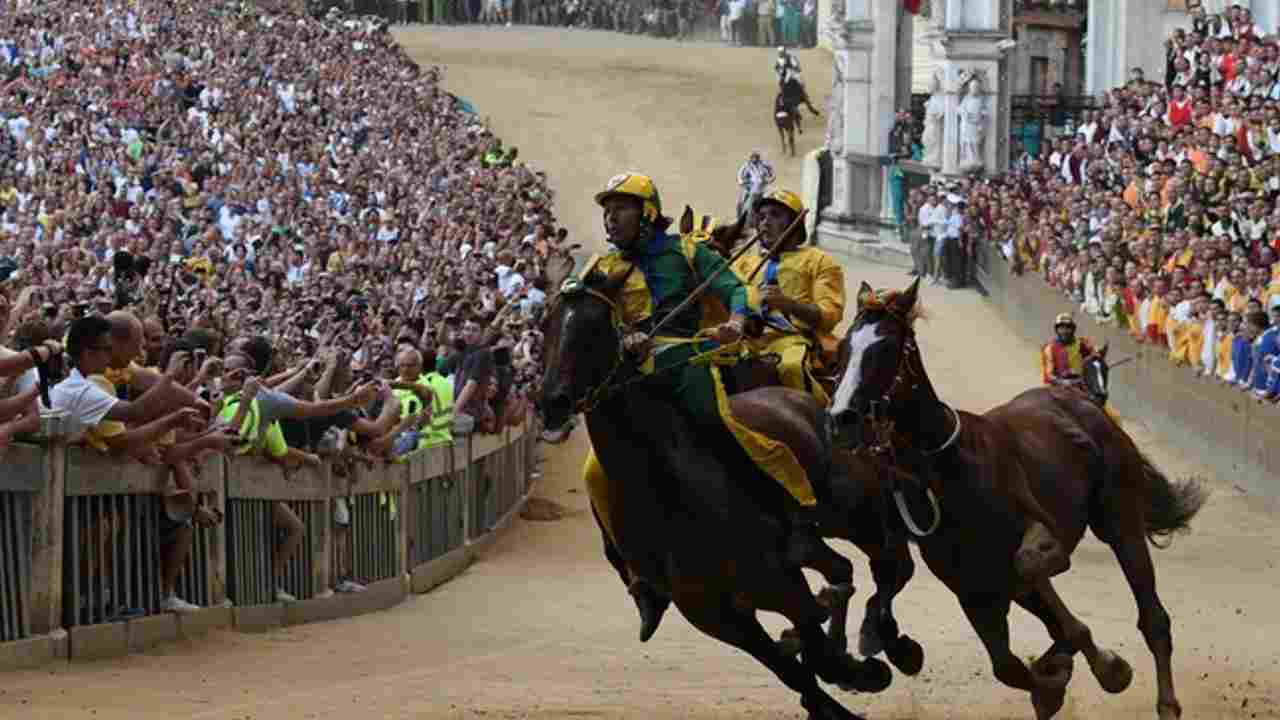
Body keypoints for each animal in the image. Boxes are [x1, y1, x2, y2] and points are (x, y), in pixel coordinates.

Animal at [537, 269, 890, 717]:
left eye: (596, 328)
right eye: (548, 324)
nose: (552, 402)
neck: (671, 492)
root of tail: (799, 398)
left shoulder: (776, 580)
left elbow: (813, 645)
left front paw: (857, 669)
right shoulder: (715, 614)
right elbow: (794, 671)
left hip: (846, 513)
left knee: (862, 563)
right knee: (838, 572)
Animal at [829, 275, 1208, 717]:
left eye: (885, 348)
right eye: (843, 349)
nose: (840, 419)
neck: (945, 468)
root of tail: (1085, 408)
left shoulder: (1034, 535)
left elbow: (1036, 568)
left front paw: (1103, 669)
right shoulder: (973, 590)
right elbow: (1008, 666)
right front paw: (1054, 682)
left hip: (1120, 518)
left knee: (1153, 618)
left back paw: (1165, 702)